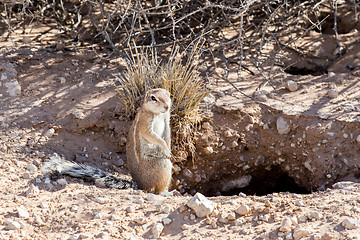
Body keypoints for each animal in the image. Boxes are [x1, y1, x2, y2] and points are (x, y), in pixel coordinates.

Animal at [40, 88, 172, 195]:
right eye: (153, 98)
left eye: (169, 94)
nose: (167, 107)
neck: (159, 114)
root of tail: (139, 185)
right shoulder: (145, 122)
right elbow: (152, 136)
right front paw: (166, 149)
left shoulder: (167, 122)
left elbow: (167, 136)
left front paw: (168, 149)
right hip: (162, 165)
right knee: (155, 189)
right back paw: (166, 192)